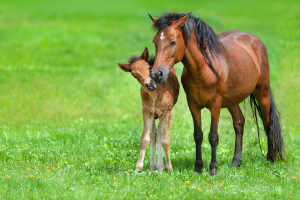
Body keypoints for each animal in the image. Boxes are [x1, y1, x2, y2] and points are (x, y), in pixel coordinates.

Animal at [149, 12, 284, 175]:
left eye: (173, 42)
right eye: (155, 41)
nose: (157, 74)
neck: (203, 69)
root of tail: (255, 40)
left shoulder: (215, 104)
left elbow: (213, 136)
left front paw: (213, 168)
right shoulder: (193, 104)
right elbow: (198, 135)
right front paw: (198, 168)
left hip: (262, 92)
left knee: (267, 122)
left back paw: (271, 159)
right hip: (232, 100)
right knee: (239, 123)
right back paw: (235, 162)